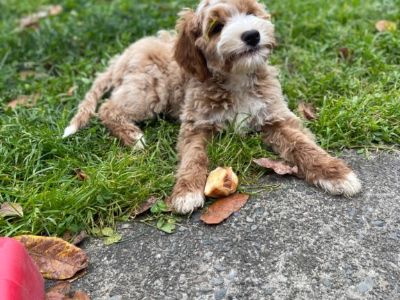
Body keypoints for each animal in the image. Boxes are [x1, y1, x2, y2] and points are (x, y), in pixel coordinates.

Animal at [64, 0, 360, 213]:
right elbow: (193, 157)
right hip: (151, 89)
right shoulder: (196, 124)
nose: (252, 35)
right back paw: (133, 136)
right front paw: (186, 191)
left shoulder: (276, 116)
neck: (236, 78)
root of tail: (122, 56)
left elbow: (302, 144)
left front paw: (335, 173)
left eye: (250, 12)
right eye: (216, 27)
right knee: (108, 108)